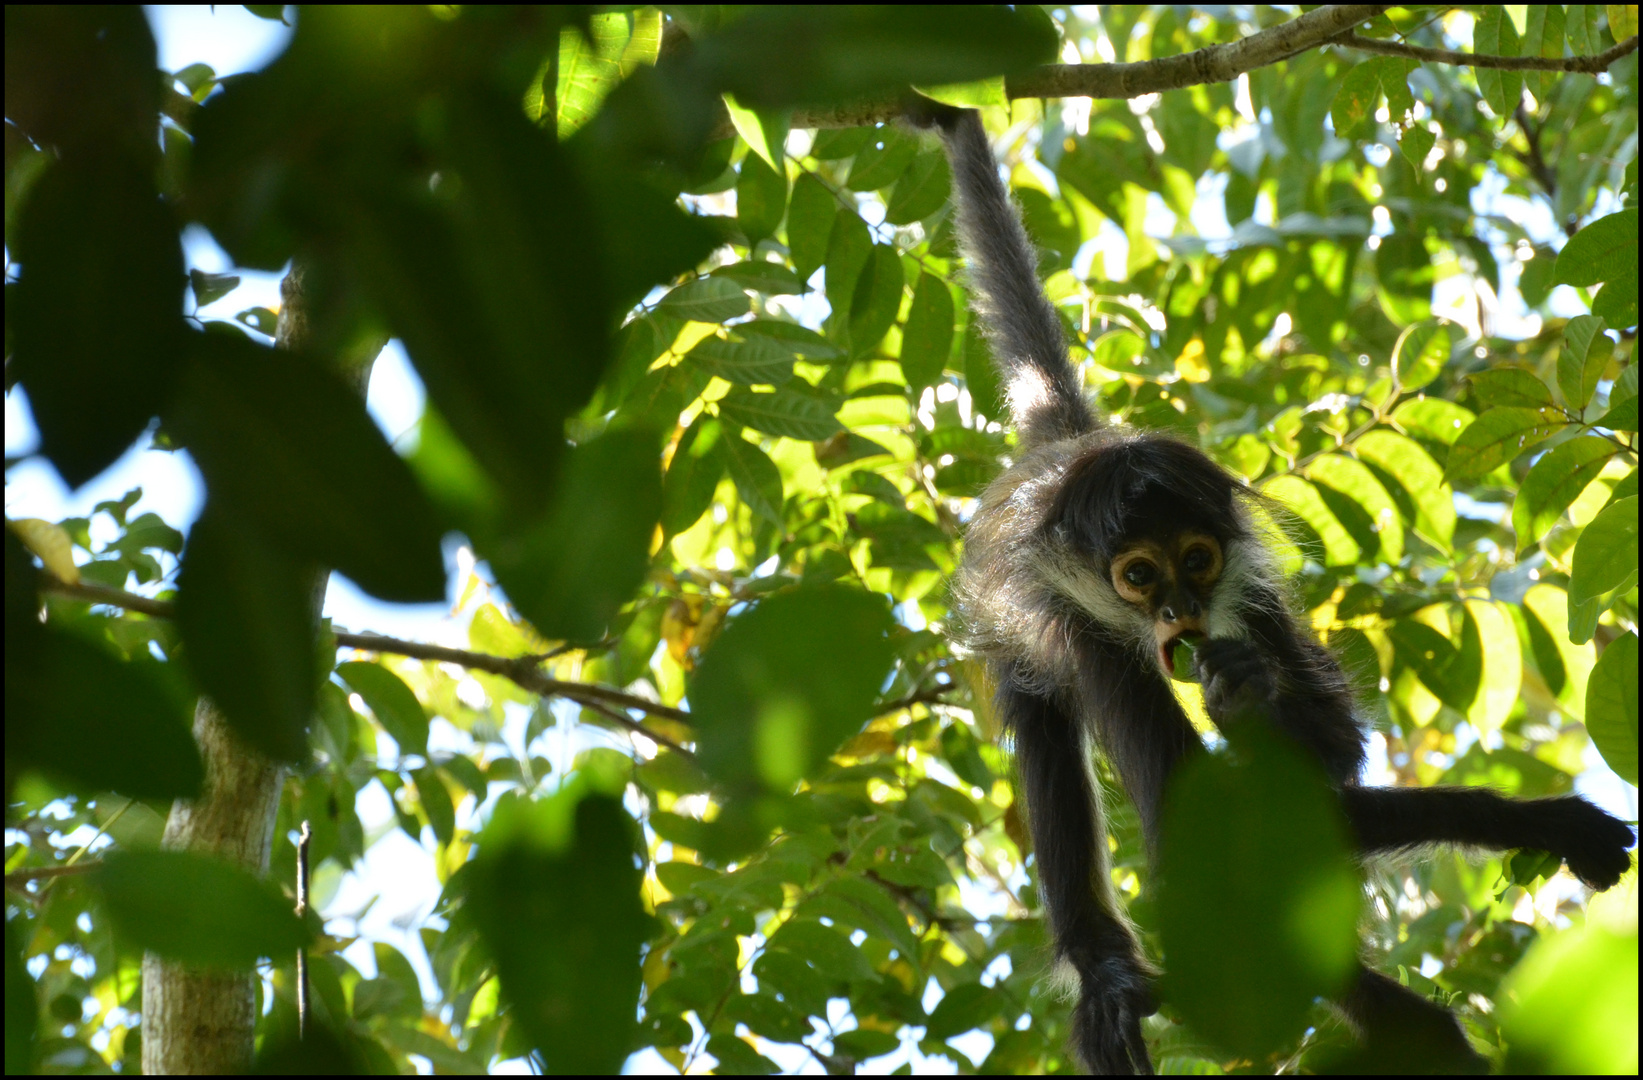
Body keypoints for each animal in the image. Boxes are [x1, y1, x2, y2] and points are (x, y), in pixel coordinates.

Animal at [906, 103, 1636, 1071]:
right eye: (1137, 576)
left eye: (1195, 561)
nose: (1178, 611)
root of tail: (1069, 454)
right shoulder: (1087, 636)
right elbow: (1195, 828)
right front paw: (1548, 826)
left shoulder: (1249, 599)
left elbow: (1328, 761)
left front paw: (1248, 699)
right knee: (1051, 744)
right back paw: (1118, 973)